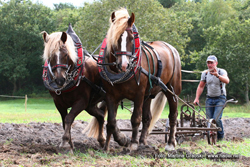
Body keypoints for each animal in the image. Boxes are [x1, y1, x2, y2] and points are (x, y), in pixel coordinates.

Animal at [40, 24, 106, 153]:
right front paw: (70, 145)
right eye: (50, 56)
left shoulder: (81, 101)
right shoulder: (59, 103)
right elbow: (64, 122)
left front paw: (65, 143)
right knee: (100, 115)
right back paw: (102, 141)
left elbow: (69, 118)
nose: (60, 80)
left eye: (66, 54)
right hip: (91, 105)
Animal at [95, 8, 182, 151]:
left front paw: (133, 143)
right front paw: (109, 146)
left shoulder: (139, 94)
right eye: (115, 38)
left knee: (173, 115)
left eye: (131, 38)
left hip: (171, 90)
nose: (124, 65)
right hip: (149, 94)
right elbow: (111, 122)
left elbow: (135, 118)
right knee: (147, 118)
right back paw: (143, 142)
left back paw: (170, 143)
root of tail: (172, 49)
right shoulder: (111, 96)